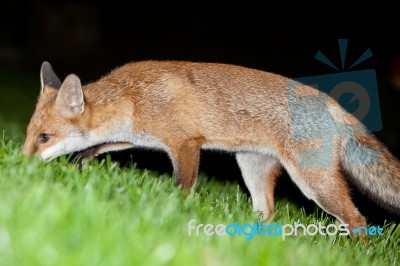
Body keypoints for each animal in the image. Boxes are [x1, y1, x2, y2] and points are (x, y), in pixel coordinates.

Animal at [23, 60, 398, 231]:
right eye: (30, 135)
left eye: (45, 138)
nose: (19, 162)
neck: (132, 95)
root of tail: (334, 105)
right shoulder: (132, 135)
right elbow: (97, 146)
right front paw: (79, 161)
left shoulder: (186, 143)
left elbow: (182, 187)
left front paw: (174, 211)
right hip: (251, 167)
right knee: (268, 211)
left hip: (314, 184)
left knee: (358, 218)